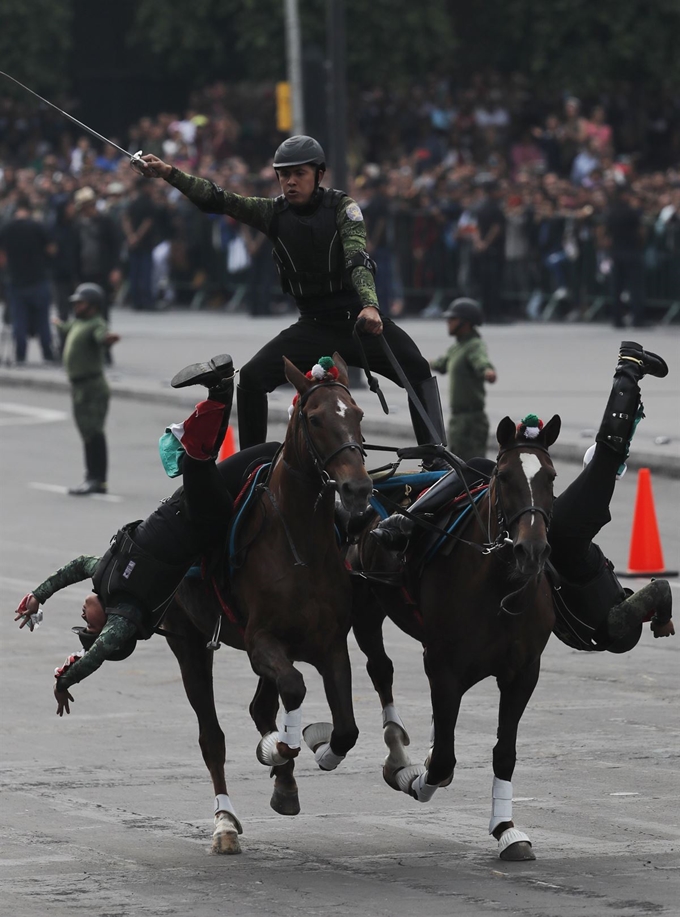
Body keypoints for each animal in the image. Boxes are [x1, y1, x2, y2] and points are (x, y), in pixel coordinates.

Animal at [162, 356, 372, 852]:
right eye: (314, 419)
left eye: (357, 414)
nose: (357, 489)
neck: (300, 543)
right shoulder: (262, 640)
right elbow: (293, 687)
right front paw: (280, 751)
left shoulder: (331, 644)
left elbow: (346, 727)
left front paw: (311, 754)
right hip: (187, 640)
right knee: (212, 735)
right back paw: (225, 821)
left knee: (262, 707)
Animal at [348, 414, 560, 860]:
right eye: (505, 476)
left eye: (550, 476)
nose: (532, 550)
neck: (499, 586)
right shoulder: (444, 667)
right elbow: (444, 758)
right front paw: (419, 777)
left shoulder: (523, 673)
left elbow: (504, 752)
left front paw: (506, 828)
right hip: (364, 606)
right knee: (380, 668)